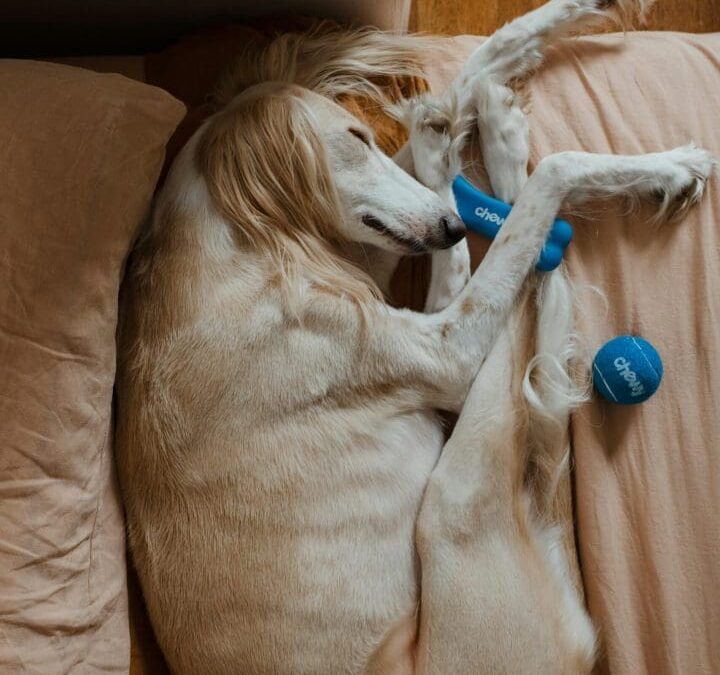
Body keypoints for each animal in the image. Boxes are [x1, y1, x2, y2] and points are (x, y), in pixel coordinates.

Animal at [115, 1, 714, 672]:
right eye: (354, 139)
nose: (453, 225)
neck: (230, 244)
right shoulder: (444, 351)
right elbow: (539, 184)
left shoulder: (386, 261)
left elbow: (450, 114)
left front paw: (527, 45)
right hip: (453, 506)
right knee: (542, 247)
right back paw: (507, 136)